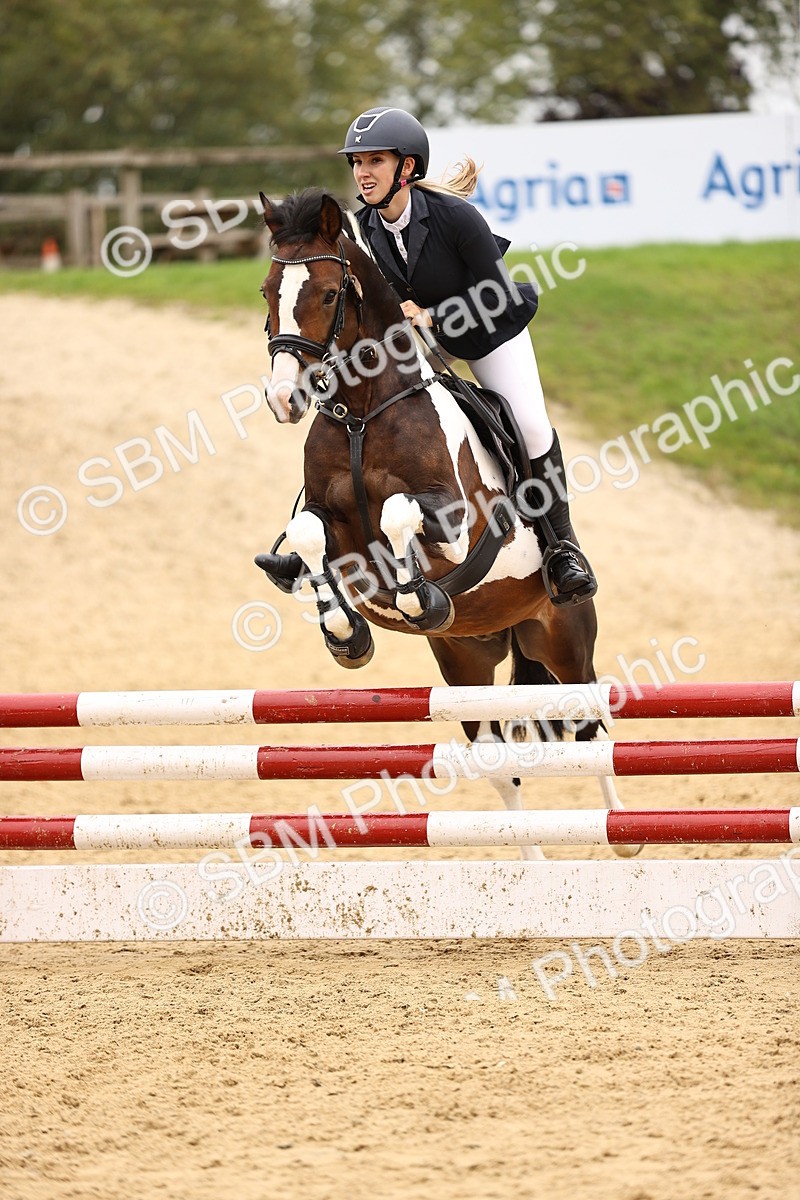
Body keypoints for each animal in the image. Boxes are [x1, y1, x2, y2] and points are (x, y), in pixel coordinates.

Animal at [256, 187, 636, 859]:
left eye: (327, 294)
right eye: (266, 290)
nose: (285, 398)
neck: (364, 414)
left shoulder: (461, 525)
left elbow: (399, 513)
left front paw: (413, 597)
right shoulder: (329, 519)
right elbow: (310, 537)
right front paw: (346, 632)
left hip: (563, 634)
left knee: (591, 729)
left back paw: (623, 837)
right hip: (465, 661)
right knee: (497, 759)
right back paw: (532, 859)